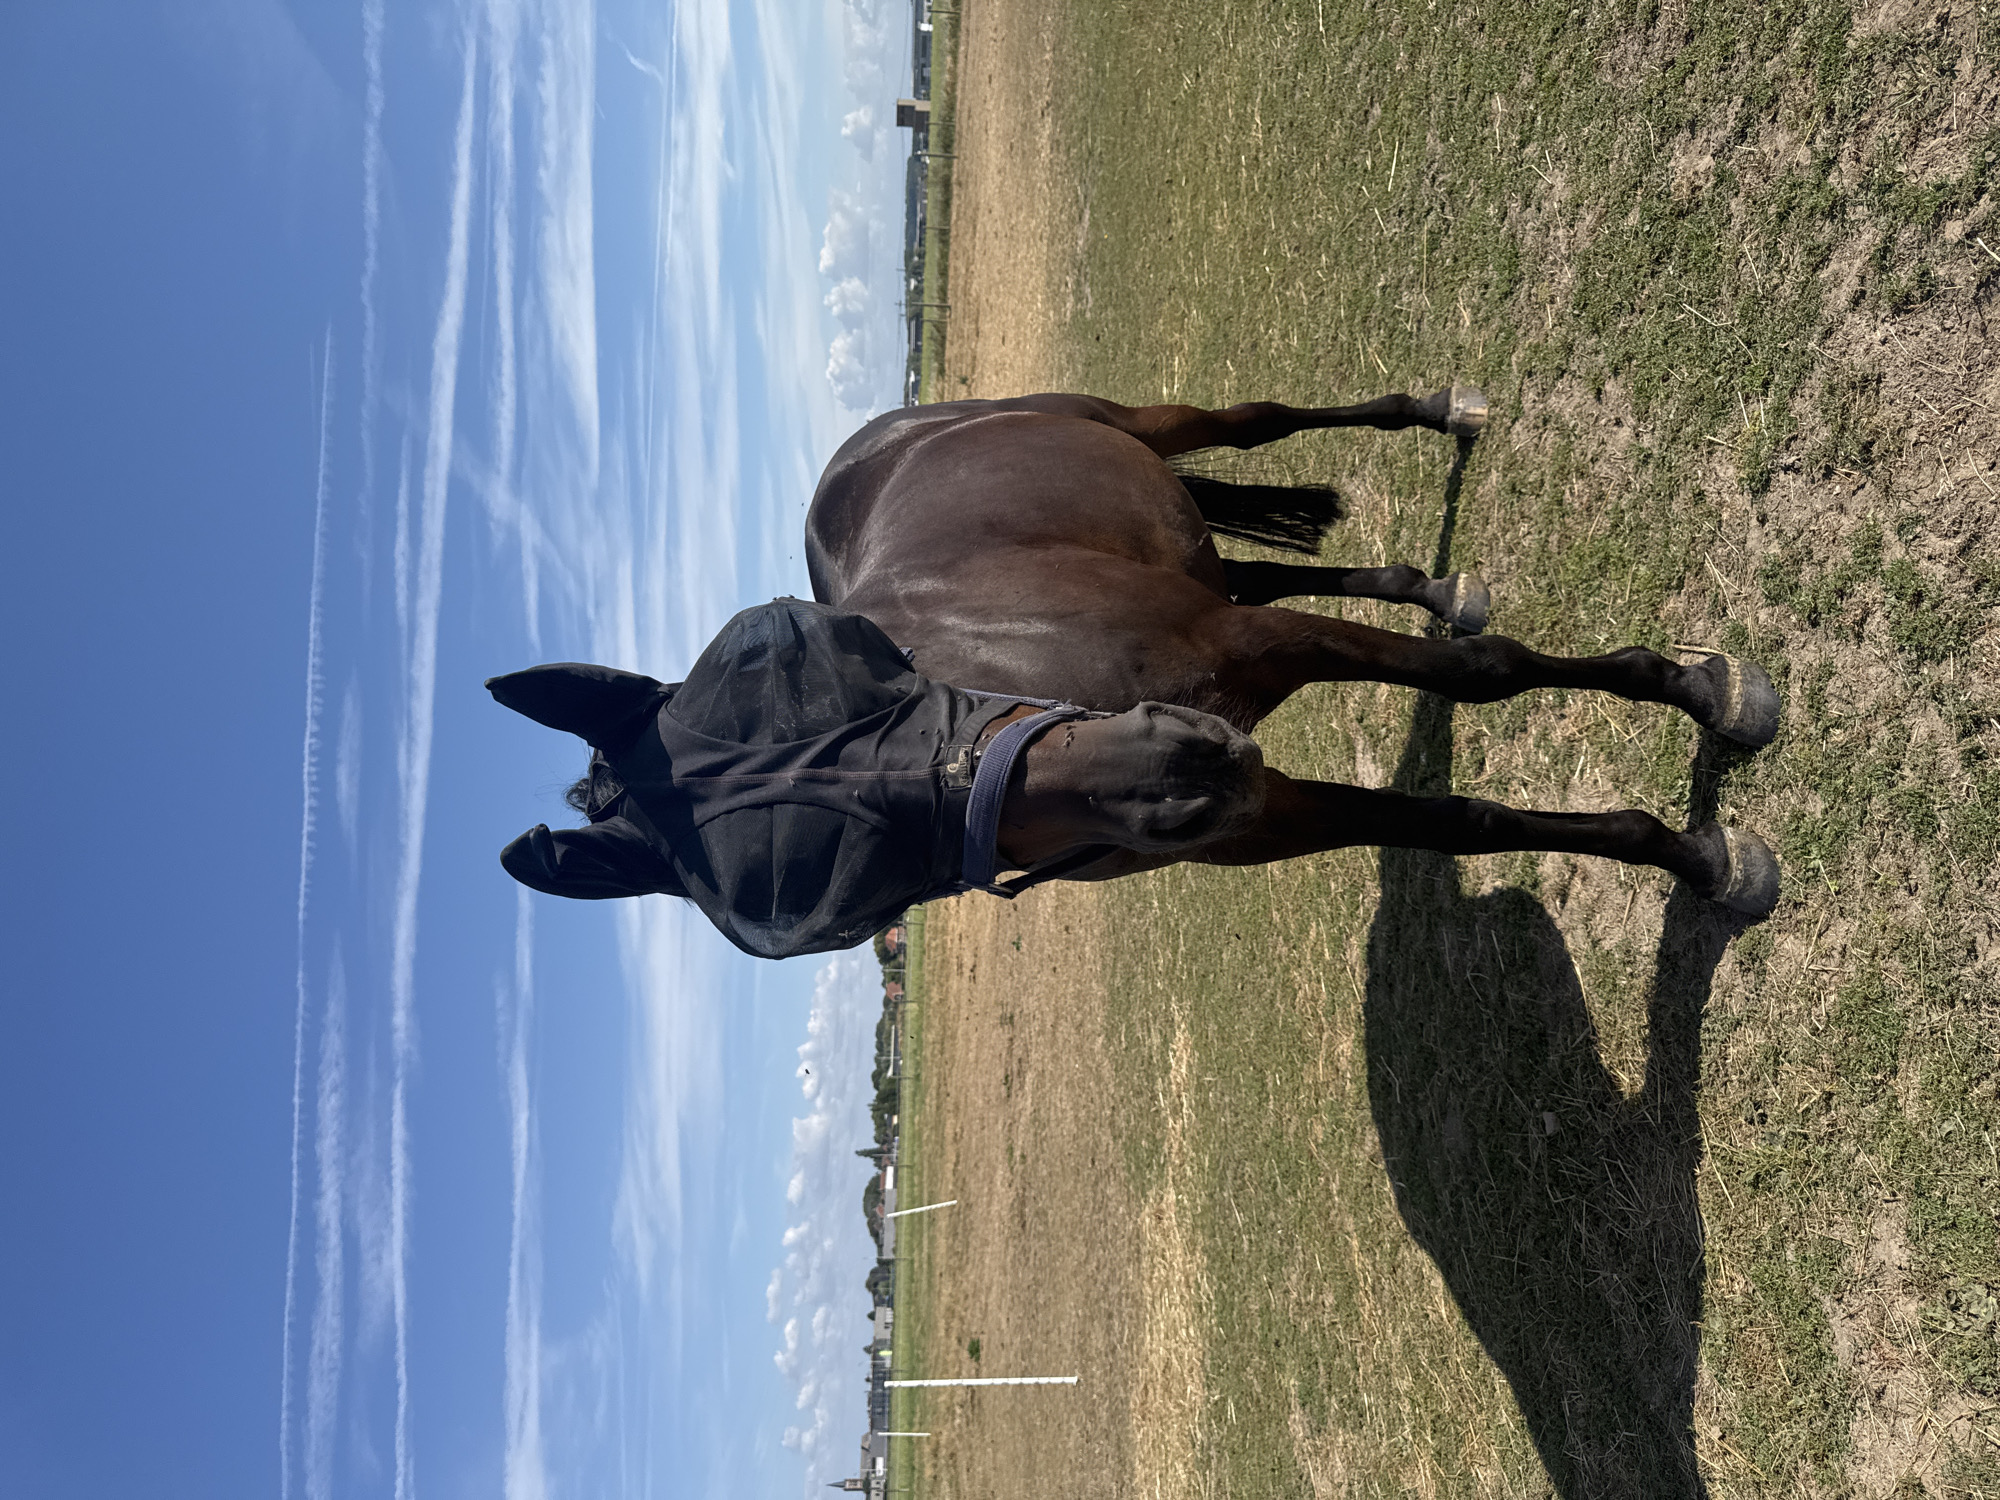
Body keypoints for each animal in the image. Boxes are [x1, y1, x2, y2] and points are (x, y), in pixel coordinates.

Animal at [802, 385, 1781, 918]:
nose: (1184, 777)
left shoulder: (1270, 644)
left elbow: (1484, 672)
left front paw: (1708, 694)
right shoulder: (1266, 812)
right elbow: (1455, 824)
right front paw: (1692, 858)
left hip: (1138, 424)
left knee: (1253, 421)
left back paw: (1440, 413)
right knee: (1261, 568)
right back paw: (1435, 589)